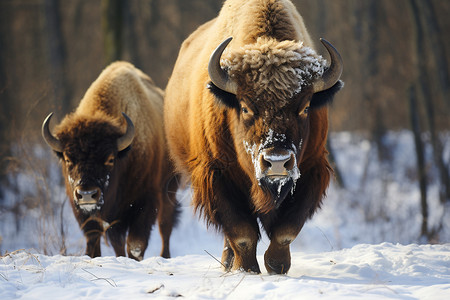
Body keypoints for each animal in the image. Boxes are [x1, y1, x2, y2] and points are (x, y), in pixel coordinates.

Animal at [42, 61, 178, 260]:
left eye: (110, 159)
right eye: (68, 159)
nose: (87, 194)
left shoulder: (145, 202)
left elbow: (136, 245)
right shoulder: (84, 212)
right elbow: (95, 240)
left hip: (169, 188)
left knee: (165, 225)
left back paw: (165, 256)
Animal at [163, 0, 342, 274]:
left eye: (305, 107)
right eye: (246, 107)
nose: (277, 162)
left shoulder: (312, 170)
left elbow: (286, 230)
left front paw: (276, 265)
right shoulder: (217, 174)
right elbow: (241, 233)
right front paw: (246, 268)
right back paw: (228, 262)